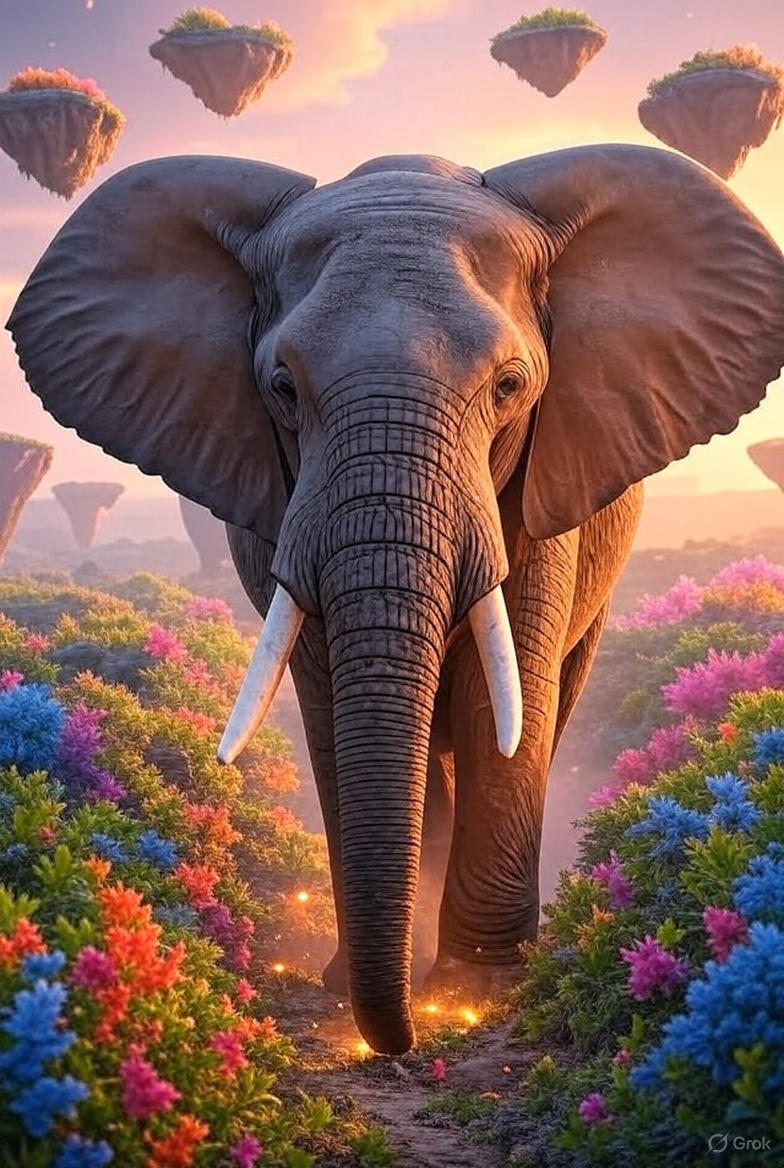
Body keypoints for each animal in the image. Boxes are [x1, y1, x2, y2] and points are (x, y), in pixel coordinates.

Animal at [7, 144, 784, 1055]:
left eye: (510, 386)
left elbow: (500, 692)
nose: (405, 1040)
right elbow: (329, 697)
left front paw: (482, 989)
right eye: (282, 388)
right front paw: (365, 985)